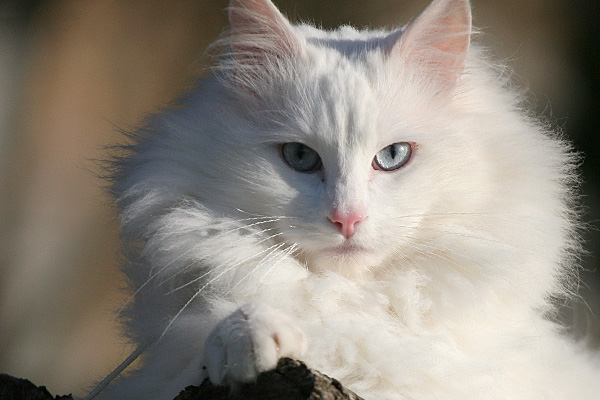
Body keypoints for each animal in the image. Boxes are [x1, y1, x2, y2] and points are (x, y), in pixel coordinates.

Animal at [97, 0, 600, 398]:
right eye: (300, 157)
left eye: (393, 156)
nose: (347, 219)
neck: (348, 299)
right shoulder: (161, 369)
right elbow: (219, 329)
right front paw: (251, 341)